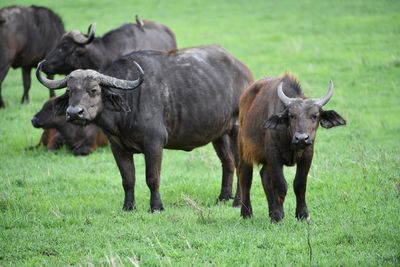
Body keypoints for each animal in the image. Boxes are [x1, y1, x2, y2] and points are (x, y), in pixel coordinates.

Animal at [236, 74, 346, 223]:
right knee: (245, 177)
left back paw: (271, 210)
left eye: (315, 116)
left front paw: (302, 214)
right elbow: (280, 184)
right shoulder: (274, 155)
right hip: (244, 150)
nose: (302, 138)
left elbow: (299, 184)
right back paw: (246, 213)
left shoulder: (307, 155)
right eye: (291, 116)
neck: (290, 142)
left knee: (265, 176)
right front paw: (278, 216)